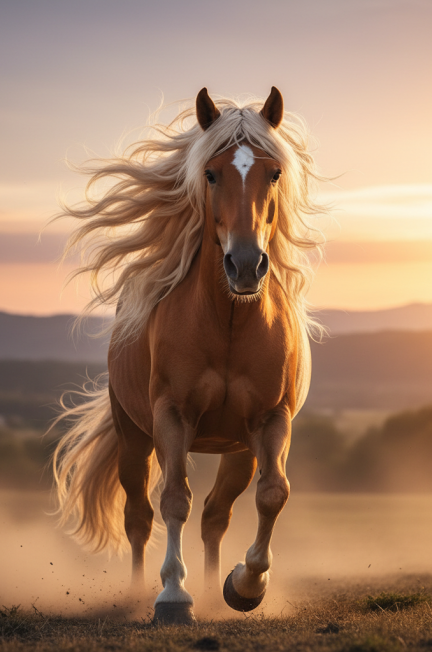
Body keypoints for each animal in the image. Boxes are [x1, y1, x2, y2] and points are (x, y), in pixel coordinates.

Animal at [53, 86, 323, 625]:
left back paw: (215, 588)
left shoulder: (270, 421)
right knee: (138, 516)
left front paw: (245, 585)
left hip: (237, 450)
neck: (229, 324)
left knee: (216, 516)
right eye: (211, 173)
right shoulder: (171, 417)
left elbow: (272, 495)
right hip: (134, 437)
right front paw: (173, 597)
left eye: (274, 173)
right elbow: (175, 499)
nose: (245, 265)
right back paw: (139, 592)